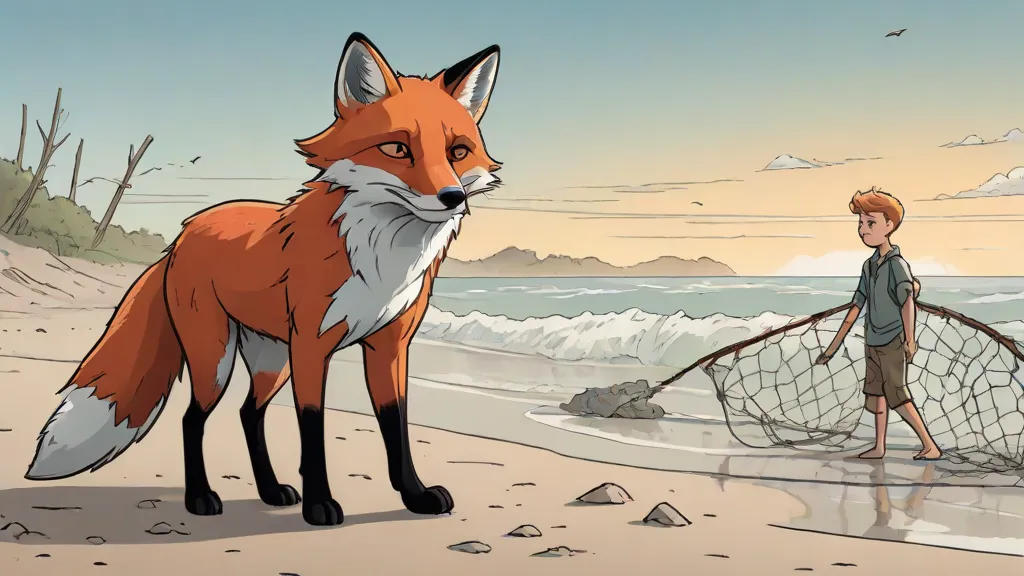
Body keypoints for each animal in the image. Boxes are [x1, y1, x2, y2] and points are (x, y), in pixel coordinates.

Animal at [23, 32, 502, 526]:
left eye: (457, 152)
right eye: (397, 149)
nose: (452, 197)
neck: (380, 258)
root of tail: (182, 234)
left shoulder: (388, 345)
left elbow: (396, 429)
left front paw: (414, 496)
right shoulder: (311, 344)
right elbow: (312, 430)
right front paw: (319, 504)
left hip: (272, 361)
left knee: (248, 414)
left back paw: (270, 491)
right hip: (216, 358)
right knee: (192, 419)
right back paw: (200, 498)